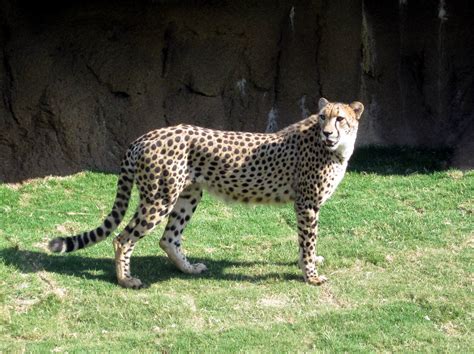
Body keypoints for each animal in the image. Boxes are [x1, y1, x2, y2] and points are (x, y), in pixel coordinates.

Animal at [49, 98, 362, 290]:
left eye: (340, 119)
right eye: (322, 117)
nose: (327, 133)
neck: (336, 148)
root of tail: (146, 136)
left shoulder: (305, 205)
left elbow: (305, 243)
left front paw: (308, 264)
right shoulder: (307, 204)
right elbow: (308, 241)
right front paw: (311, 275)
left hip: (188, 195)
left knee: (168, 238)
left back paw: (188, 269)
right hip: (160, 198)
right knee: (122, 239)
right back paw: (126, 280)